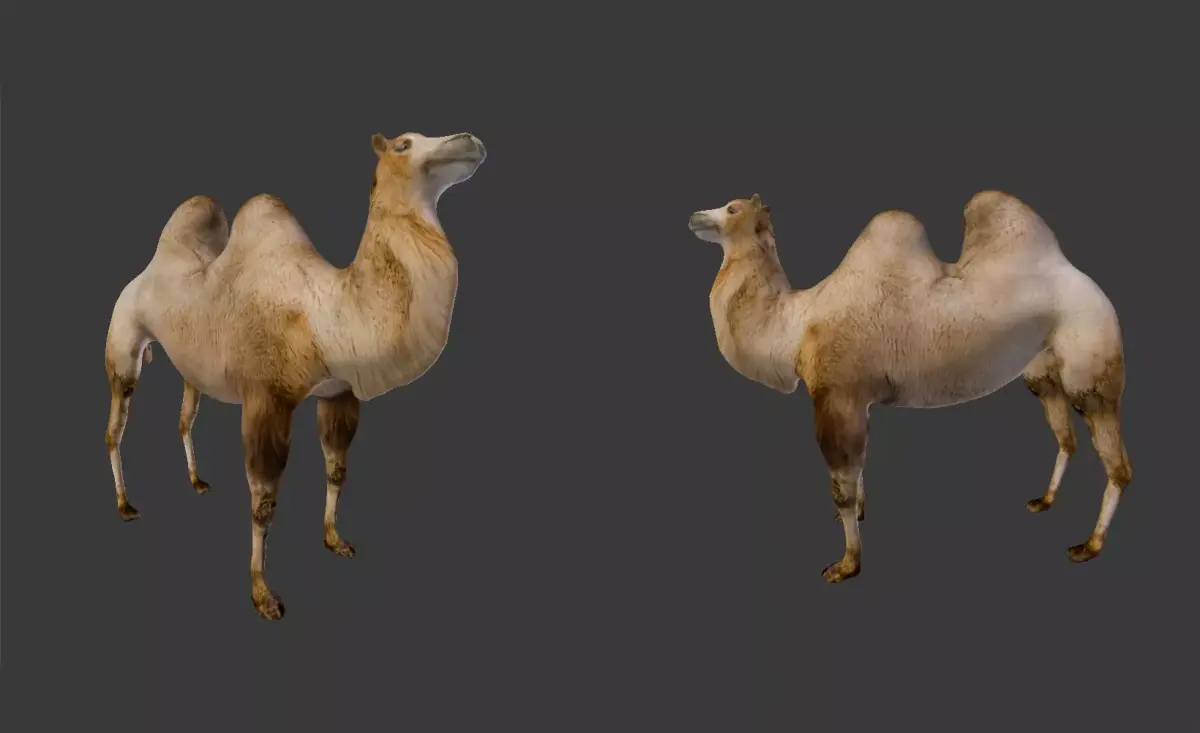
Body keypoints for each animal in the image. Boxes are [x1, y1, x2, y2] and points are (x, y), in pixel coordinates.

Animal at [104, 131, 487, 620]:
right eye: (405, 144)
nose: (468, 141)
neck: (329, 315)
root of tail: (146, 271)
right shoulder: (267, 399)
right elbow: (264, 503)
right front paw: (263, 595)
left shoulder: (339, 393)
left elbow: (337, 469)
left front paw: (334, 539)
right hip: (123, 344)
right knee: (116, 426)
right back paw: (125, 504)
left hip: (189, 365)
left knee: (185, 418)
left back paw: (196, 481)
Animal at [688, 191, 1131, 584]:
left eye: (732, 208)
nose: (694, 217)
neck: (795, 326)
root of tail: (1083, 277)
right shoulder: (855, 400)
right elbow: (856, 474)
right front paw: (859, 517)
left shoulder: (837, 395)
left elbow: (840, 487)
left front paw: (846, 564)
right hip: (1042, 370)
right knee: (1065, 436)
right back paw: (1045, 500)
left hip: (1091, 358)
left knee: (1116, 460)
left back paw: (1089, 545)